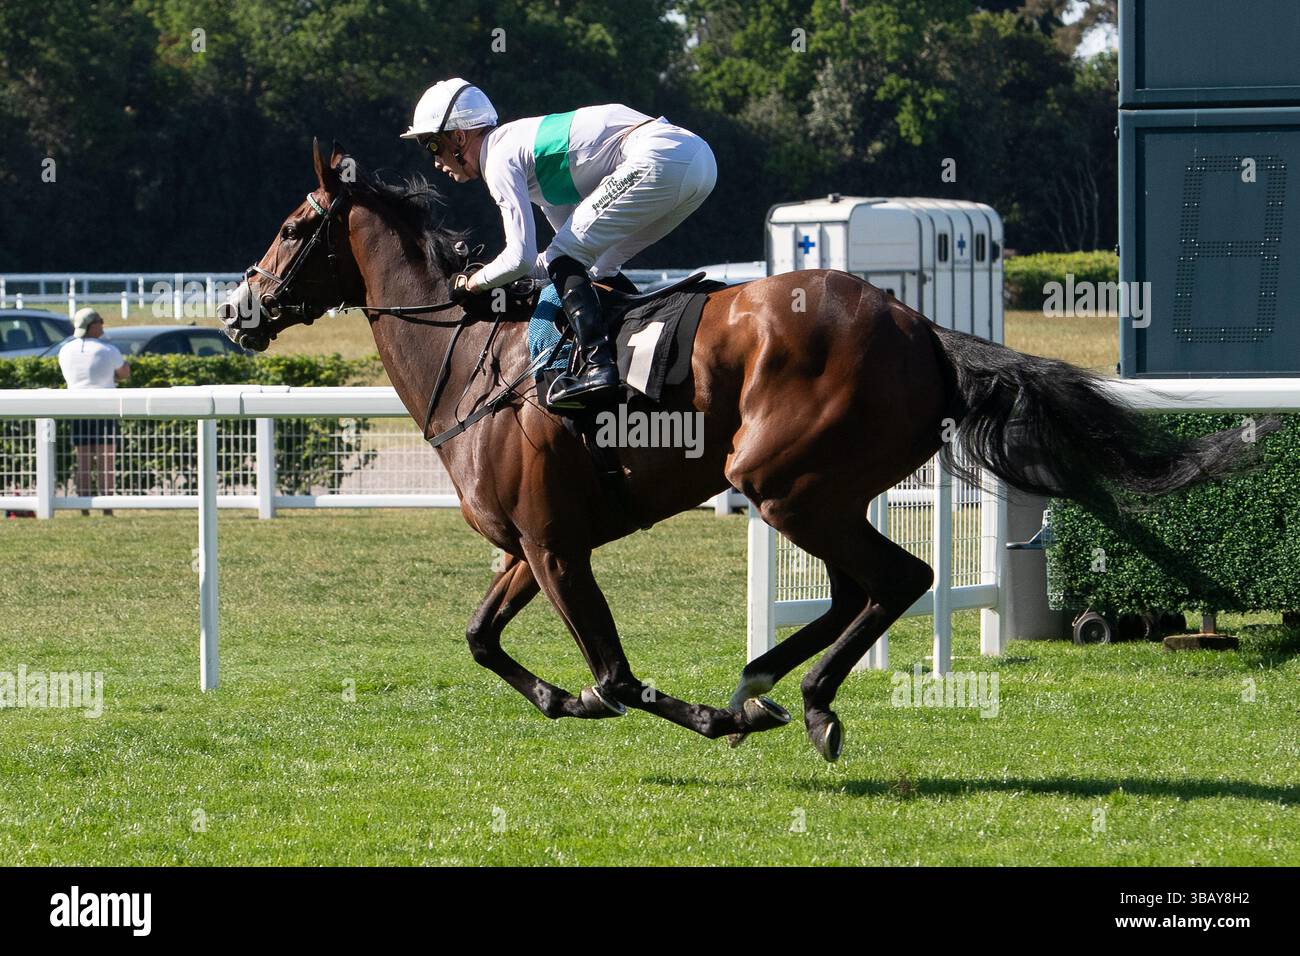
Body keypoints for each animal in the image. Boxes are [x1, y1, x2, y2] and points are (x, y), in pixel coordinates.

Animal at [219, 140, 1272, 761]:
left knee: (901, 576)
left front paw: (686, 716)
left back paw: (795, 699)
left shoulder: (557, 546)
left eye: (293, 226)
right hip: (819, 489)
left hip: (780, 481)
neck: (475, 359)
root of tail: (922, 329)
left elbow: (613, 674)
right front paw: (567, 700)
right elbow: (481, 637)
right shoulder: (531, 544)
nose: (237, 308)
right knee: (861, 589)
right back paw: (767, 680)